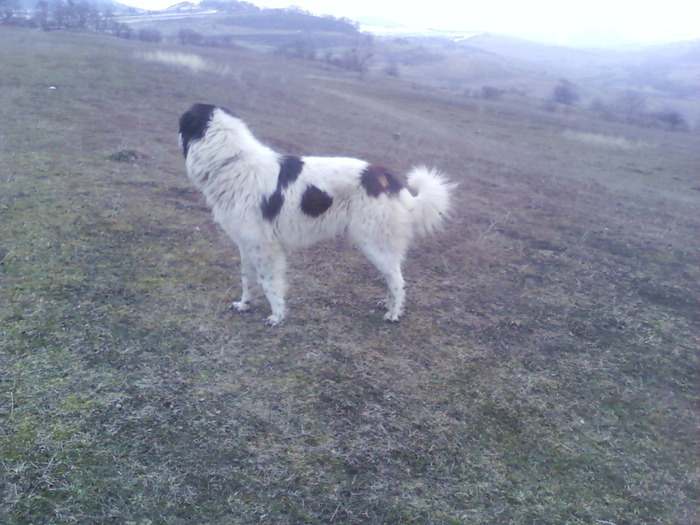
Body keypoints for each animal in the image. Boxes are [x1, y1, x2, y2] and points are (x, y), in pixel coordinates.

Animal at [178, 102, 456, 324]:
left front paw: (277, 316)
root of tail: (385, 177)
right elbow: (248, 280)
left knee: (398, 280)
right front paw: (244, 305)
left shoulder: (264, 248)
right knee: (392, 278)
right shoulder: (247, 245)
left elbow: (269, 283)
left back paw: (394, 314)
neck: (232, 161)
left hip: (374, 243)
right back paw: (387, 304)